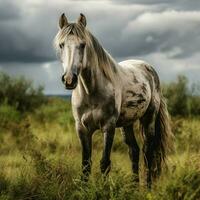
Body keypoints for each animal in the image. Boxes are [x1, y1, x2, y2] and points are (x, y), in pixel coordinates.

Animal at [54, 13, 173, 187]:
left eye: (83, 45)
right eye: (62, 45)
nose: (69, 79)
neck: (91, 92)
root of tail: (148, 68)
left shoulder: (108, 127)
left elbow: (104, 163)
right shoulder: (82, 129)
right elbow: (86, 164)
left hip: (149, 119)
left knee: (148, 153)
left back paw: (148, 187)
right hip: (127, 123)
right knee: (134, 151)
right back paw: (133, 187)